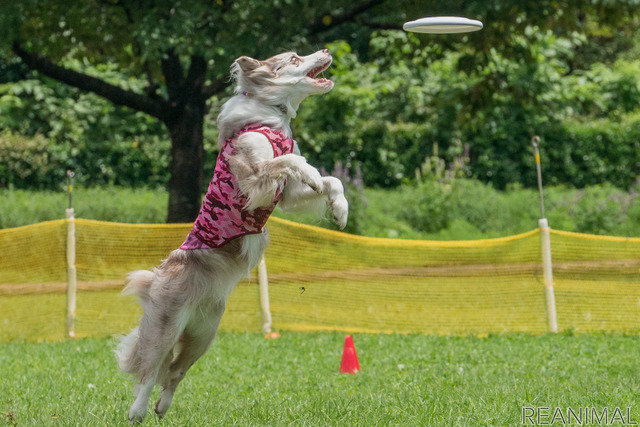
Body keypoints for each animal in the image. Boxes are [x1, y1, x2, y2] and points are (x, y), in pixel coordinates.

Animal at [115, 48, 344, 422]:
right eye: (295, 58)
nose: (326, 49)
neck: (272, 116)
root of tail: (159, 274)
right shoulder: (253, 178)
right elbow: (292, 161)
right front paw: (311, 172)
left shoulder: (286, 195)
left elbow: (330, 180)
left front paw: (341, 210)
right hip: (167, 325)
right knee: (150, 370)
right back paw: (138, 411)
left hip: (204, 333)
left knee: (175, 371)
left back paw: (163, 407)